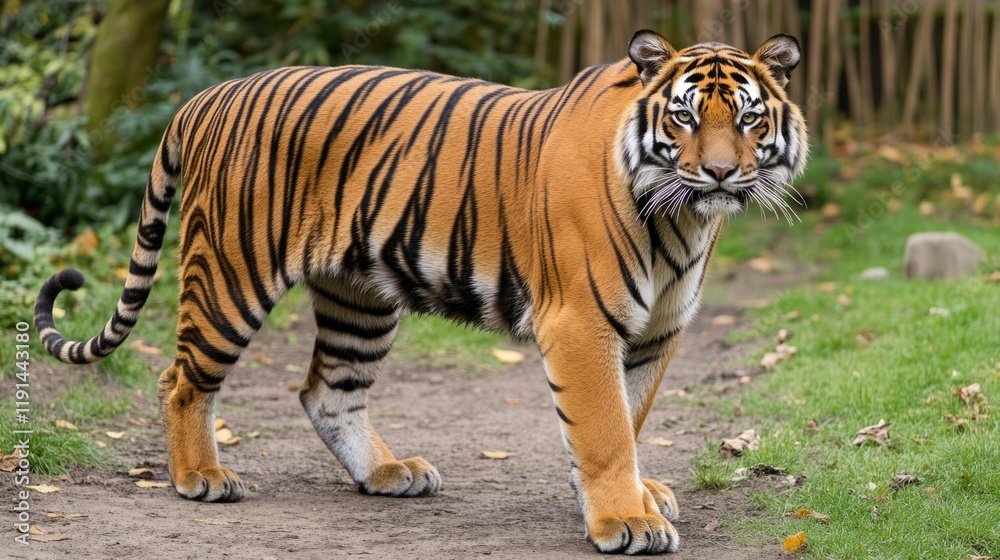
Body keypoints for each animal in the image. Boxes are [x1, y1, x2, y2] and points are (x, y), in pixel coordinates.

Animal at [34, 30, 807, 554]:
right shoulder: (581, 322)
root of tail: (205, 98)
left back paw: (386, 471)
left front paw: (630, 497)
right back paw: (202, 477)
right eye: (683, 117)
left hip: (360, 296)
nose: (718, 174)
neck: (683, 217)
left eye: (747, 119)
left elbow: (631, 417)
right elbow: (606, 427)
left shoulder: (656, 331)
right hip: (231, 272)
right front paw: (626, 519)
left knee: (328, 390)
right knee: (181, 379)